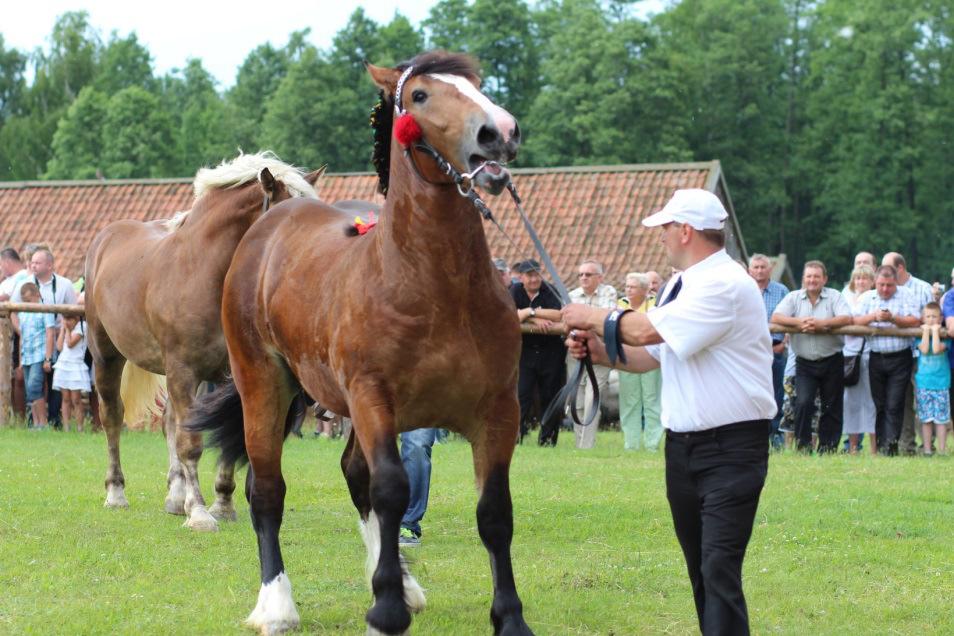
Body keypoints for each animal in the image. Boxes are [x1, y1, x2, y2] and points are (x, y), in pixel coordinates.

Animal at [82, 153, 320, 532]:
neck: (203, 273)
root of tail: (106, 237)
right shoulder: (184, 370)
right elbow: (190, 443)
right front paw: (199, 513)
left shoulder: (227, 374)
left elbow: (224, 433)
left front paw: (221, 503)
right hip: (107, 356)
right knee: (112, 418)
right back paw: (117, 493)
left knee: (169, 422)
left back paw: (175, 497)